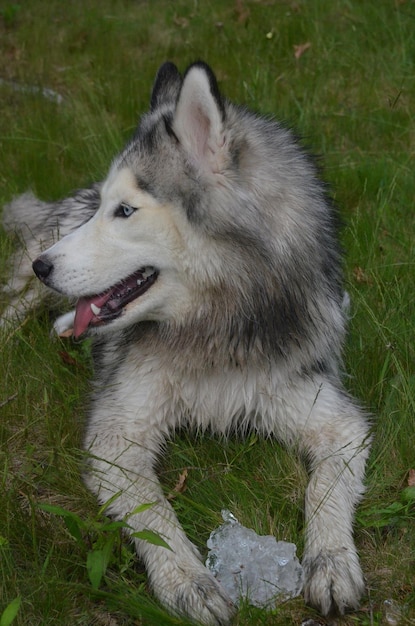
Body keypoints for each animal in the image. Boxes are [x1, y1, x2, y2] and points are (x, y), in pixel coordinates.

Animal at [1, 61, 372, 620]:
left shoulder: (339, 423)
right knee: (16, 296)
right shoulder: (116, 437)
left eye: (126, 211)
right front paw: (189, 583)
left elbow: (324, 488)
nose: (48, 268)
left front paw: (330, 562)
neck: (214, 331)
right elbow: (154, 515)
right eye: (107, 207)